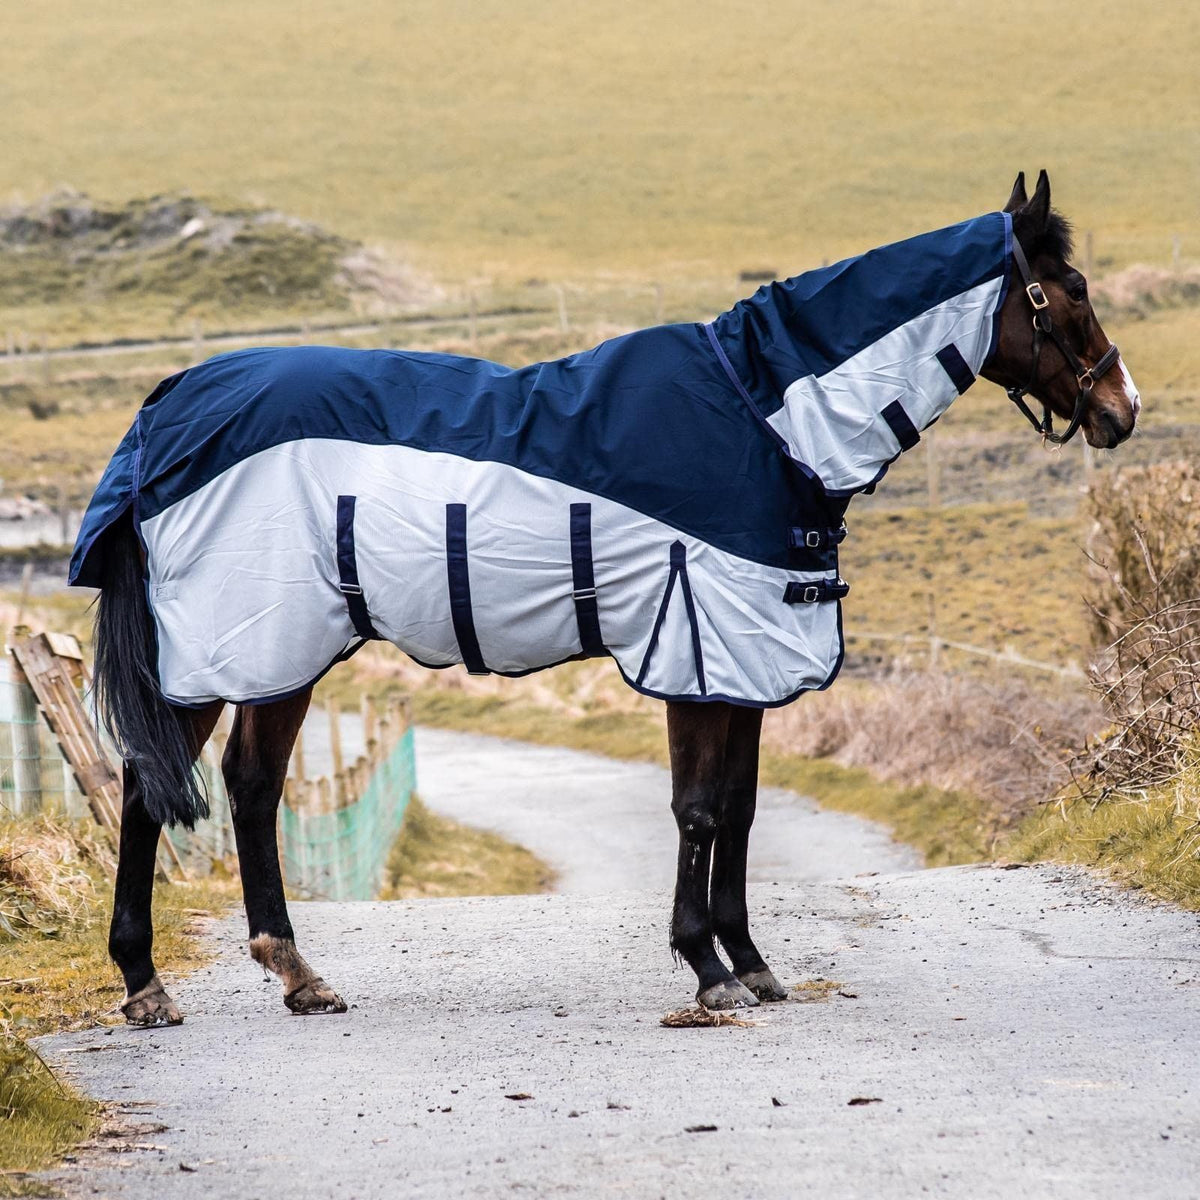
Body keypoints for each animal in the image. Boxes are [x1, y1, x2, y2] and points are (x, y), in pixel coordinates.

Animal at [72, 170, 1139, 1024]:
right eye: (1069, 292)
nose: (1122, 409)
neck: (765, 420)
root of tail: (170, 398)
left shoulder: (749, 659)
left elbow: (741, 810)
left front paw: (751, 962)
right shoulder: (699, 651)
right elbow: (699, 811)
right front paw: (707, 969)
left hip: (281, 648)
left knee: (252, 787)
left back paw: (298, 974)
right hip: (224, 645)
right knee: (146, 782)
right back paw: (144, 984)